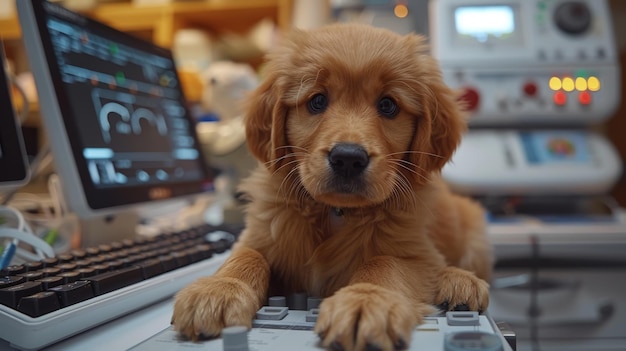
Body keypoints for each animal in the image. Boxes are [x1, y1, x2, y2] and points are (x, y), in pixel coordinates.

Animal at [172, 23, 492, 350]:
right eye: (317, 101)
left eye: (388, 105)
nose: (348, 158)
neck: (336, 212)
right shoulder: (261, 233)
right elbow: (247, 256)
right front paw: (218, 290)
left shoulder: (420, 256)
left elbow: (384, 262)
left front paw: (365, 301)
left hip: (475, 235)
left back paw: (460, 282)